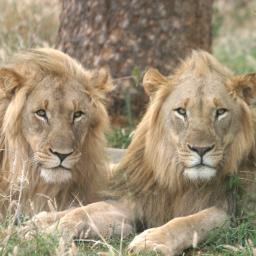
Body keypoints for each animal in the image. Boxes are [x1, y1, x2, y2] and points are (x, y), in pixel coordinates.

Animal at [27, 50, 256, 256]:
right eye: (181, 111)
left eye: (220, 112)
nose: (201, 149)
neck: (182, 181)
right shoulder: (135, 202)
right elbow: (84, 211)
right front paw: (51, 230)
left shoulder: (230, 213)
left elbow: (188, 221)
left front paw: (152, 240)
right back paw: (40, 220)